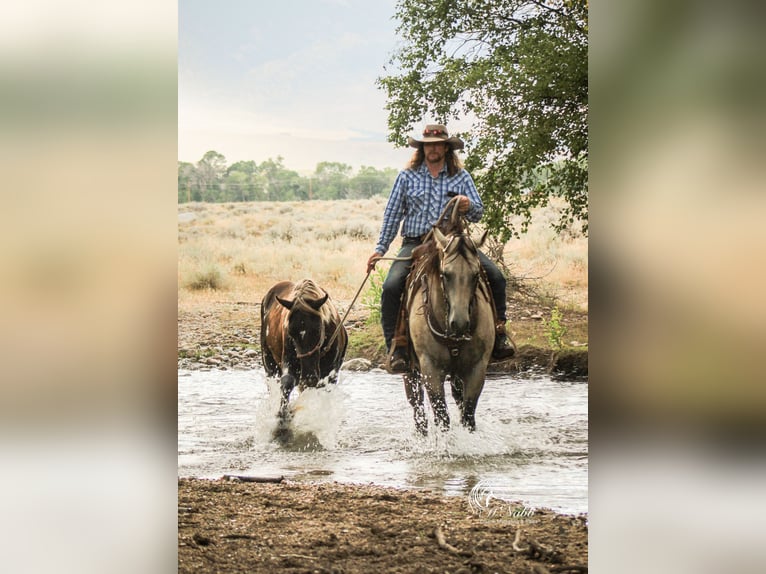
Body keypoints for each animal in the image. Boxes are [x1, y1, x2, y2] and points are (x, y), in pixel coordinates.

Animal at [262, 280, 350, 424]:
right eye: (291, 332)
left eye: (318, 329)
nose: (309, 377)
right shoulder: (288, 362)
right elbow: (287, 381)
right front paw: (283, 415)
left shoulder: (331, 372)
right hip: (268, 362)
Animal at [404, 200, 496, 434]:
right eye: (445, 275)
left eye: (476, 275)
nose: (460, 323)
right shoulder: (430, 369)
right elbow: (442, 416)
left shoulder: (476, 369)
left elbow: (468, 415)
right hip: (410, 371)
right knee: (417, 406)